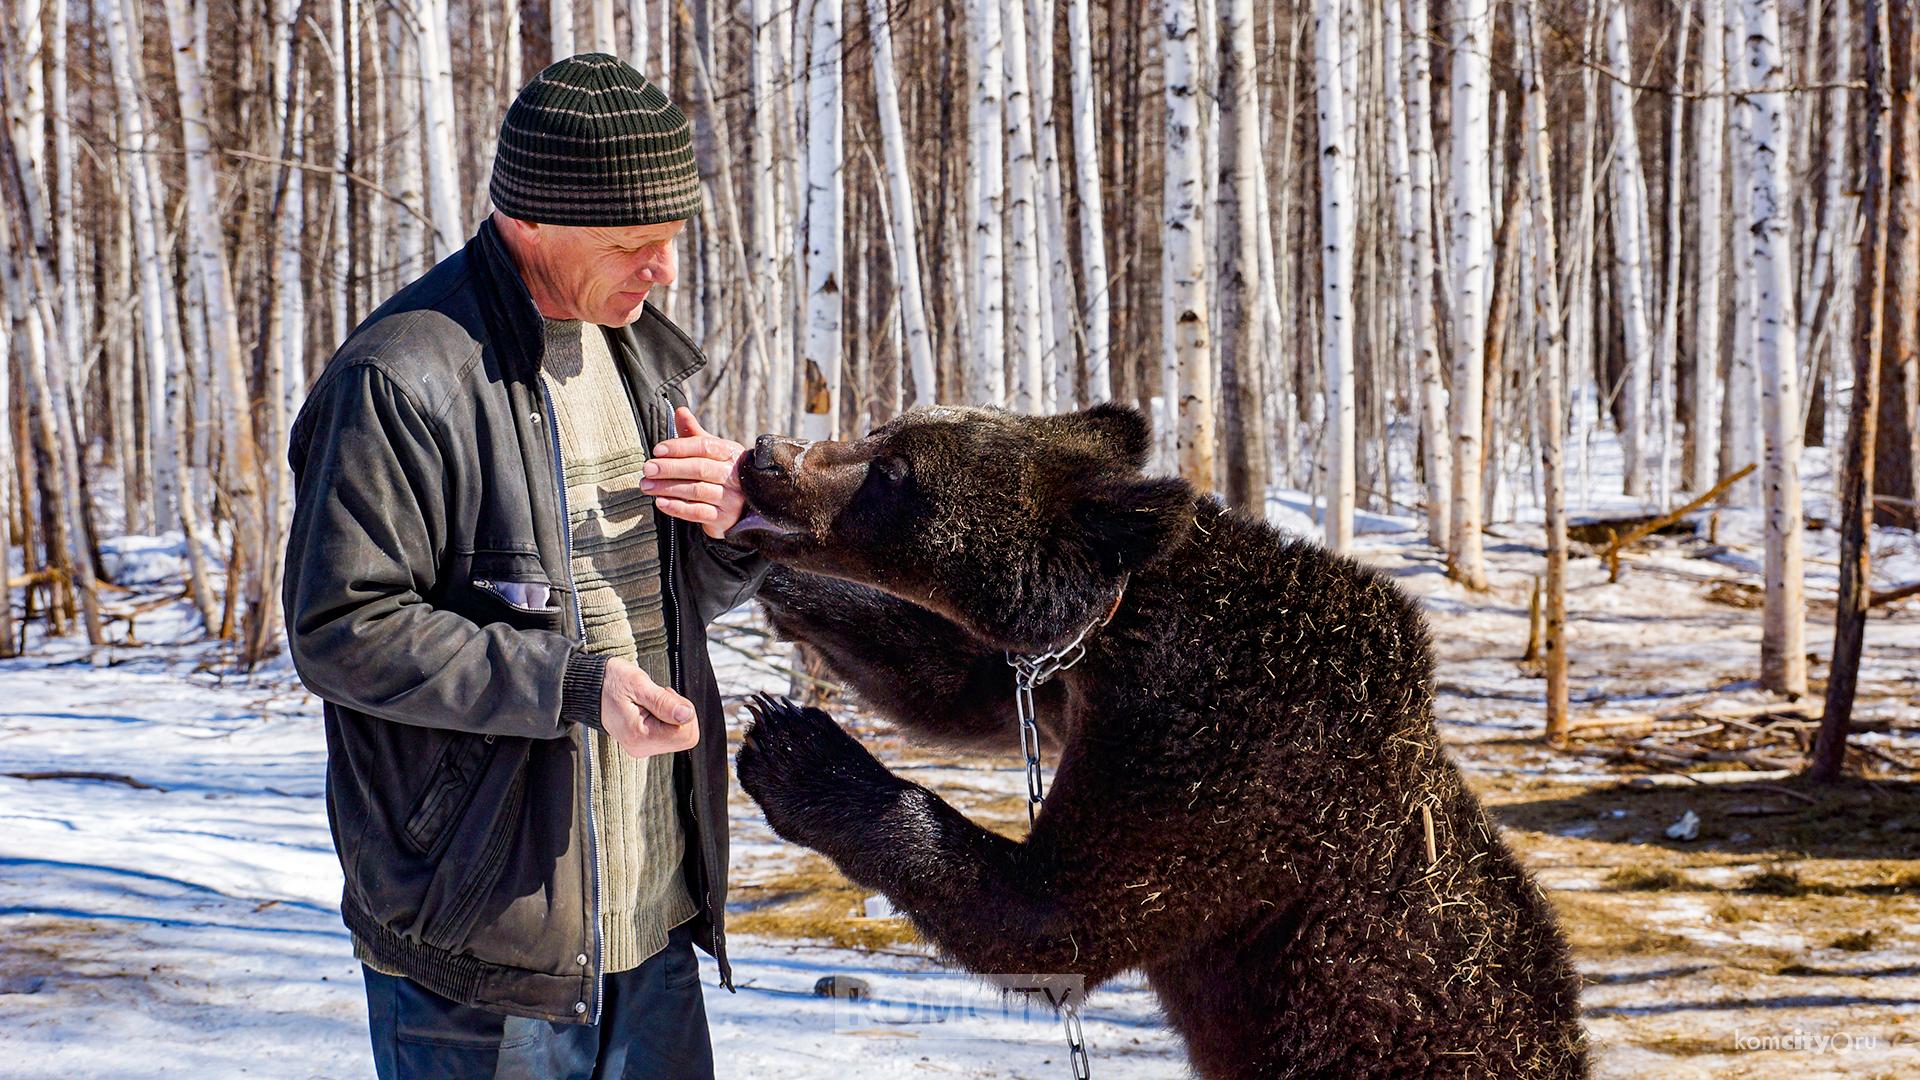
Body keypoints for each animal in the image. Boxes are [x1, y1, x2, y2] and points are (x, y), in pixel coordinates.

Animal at [725, 403, 1582, 1076]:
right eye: (880, 430)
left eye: (896, 471)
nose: (766, 453)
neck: (1120, 624)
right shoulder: (1067, 687)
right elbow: (944, 682)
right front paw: (762, 577)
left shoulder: (1222, 760)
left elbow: (1058, 918)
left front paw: (792, 745)